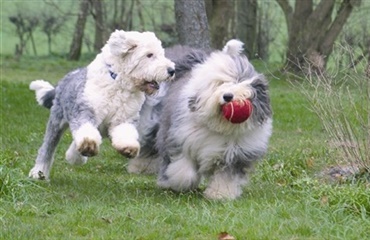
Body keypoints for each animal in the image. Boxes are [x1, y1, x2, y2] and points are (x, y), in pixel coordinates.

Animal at [28, 29, 176, 180]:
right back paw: (39, 172)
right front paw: (88, 144)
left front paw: (128, 148)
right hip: (56, 121)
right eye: (149, 55)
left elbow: (125, 134)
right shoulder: (85, 112)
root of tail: (68, 77)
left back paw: (75, 157)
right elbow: (86, 130)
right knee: (47, 148)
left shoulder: (123, 119)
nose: (171, 70)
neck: (118, 84)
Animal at [129, 39, 274, 201]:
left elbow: (226, 176)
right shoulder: (179, 140)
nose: (228, 96)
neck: (219, 126)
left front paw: (220, 194)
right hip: (153, 121)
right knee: (148, 145)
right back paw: (141, 167)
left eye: (243, 86)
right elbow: (183, 170)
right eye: (221, 83)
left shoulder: (235, 155)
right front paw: (175, 184)